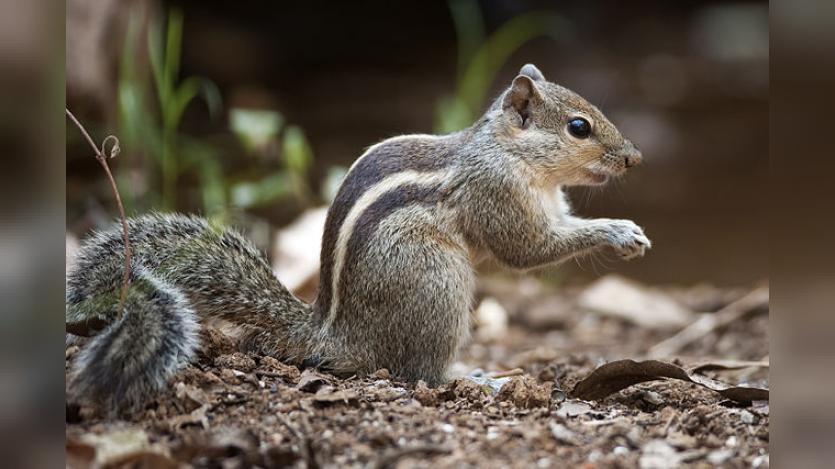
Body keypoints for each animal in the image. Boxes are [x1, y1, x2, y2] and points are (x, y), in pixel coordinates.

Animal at [67, 64, 652, 412]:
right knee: (419, 373)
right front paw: (620, 230)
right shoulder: (497, 193)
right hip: (439, 283)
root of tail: (333, 335)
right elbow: (527, 250)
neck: (509, 152)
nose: (635, 158)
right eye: (579, 127)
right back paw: (476, 378)